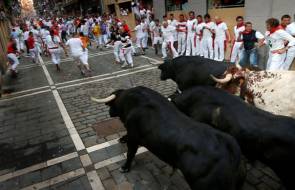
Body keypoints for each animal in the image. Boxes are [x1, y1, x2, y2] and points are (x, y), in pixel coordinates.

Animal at [91, 86, 246, 190]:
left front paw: (125, 167)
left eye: (113, 103)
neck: (134, 102)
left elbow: (130, 153)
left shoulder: (134, 137)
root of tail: (229, 146)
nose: (110, 112)